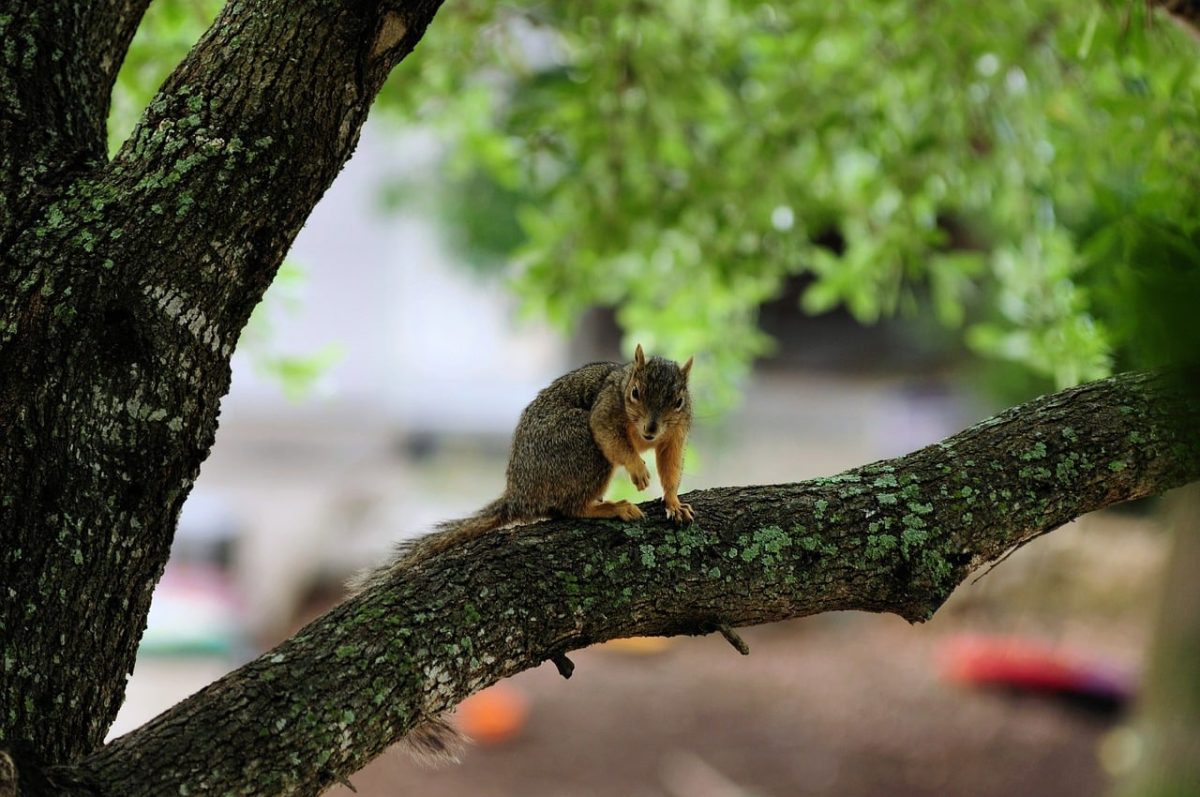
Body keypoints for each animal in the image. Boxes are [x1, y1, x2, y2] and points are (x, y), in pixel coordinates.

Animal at [349, 344, 694, 764]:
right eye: (635, 393)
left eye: (678, 401)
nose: (649, 431)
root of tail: (520, 495)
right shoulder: (606, 411)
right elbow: (612, 437)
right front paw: (639, 470)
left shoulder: (676, 432)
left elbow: (671, 465)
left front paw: (674, 502)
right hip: (580, 448)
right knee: (568, 508)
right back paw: (610, 507)